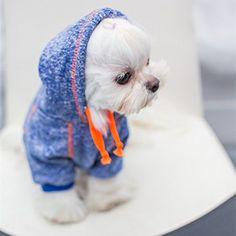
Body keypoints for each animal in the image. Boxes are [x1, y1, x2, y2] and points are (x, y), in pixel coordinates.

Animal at [23, 8, 168, 224]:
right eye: (123, 77)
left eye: (148, 61)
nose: (155, 83)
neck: (91, 113)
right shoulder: (47, 151)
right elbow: (56, 179)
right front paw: (65, 210)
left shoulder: (111, 149)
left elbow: (105, 177)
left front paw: (109, 200)